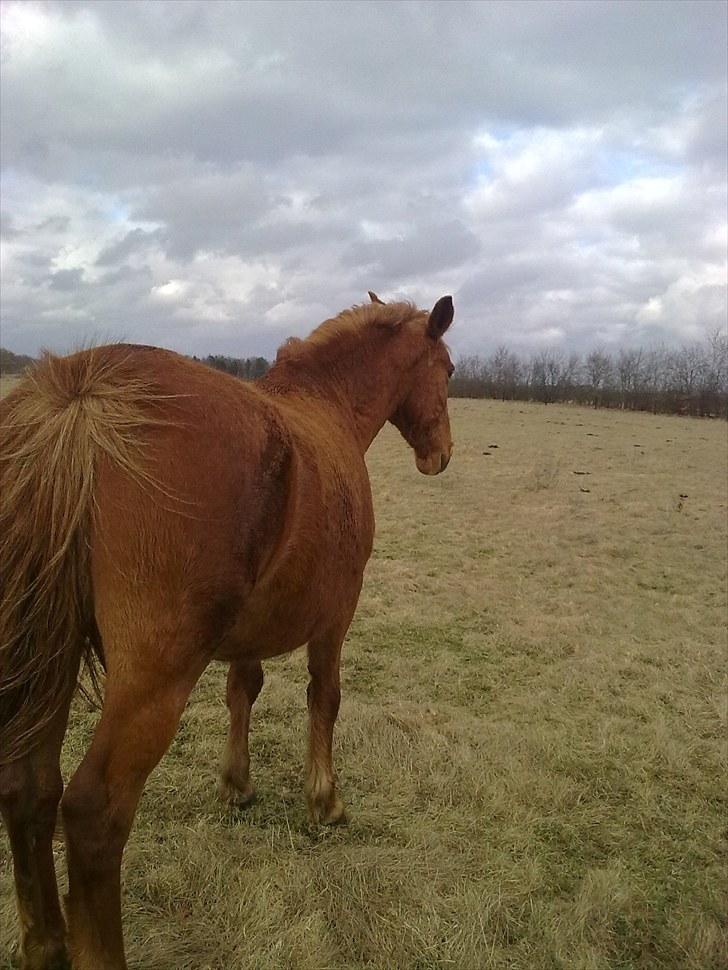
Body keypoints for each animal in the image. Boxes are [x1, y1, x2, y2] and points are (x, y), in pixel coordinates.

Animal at [1, 294, 456, 968]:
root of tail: (80, 403)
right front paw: (325, 799)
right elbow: (325, 697)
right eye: (448, 370)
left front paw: (236, 783)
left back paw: (48, 947)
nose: (441, 455)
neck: (326, 409)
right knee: (91, 813)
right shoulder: (337, 615)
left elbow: (243, 691)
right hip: (151, 683)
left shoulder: (250, 631)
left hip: (46, 664)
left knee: (28, 787)